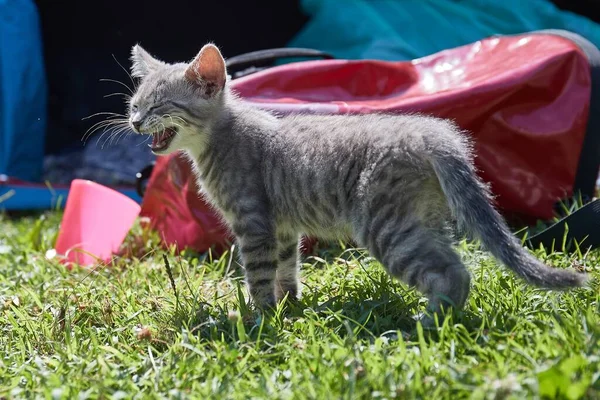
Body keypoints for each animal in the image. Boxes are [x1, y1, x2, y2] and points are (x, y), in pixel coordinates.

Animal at [126, 43, 584, 318]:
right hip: (423, 219)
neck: (218, 138)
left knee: (453, 272)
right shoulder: (282, 226)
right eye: (134, 104)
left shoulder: (254, 224)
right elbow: (286, 267)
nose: (134, 122)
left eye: (160, 106)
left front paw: (260, 318)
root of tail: (431, 132)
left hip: (386, 227)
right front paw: (288, 305)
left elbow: (258, 274)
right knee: (454, 263)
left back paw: (430, 321)